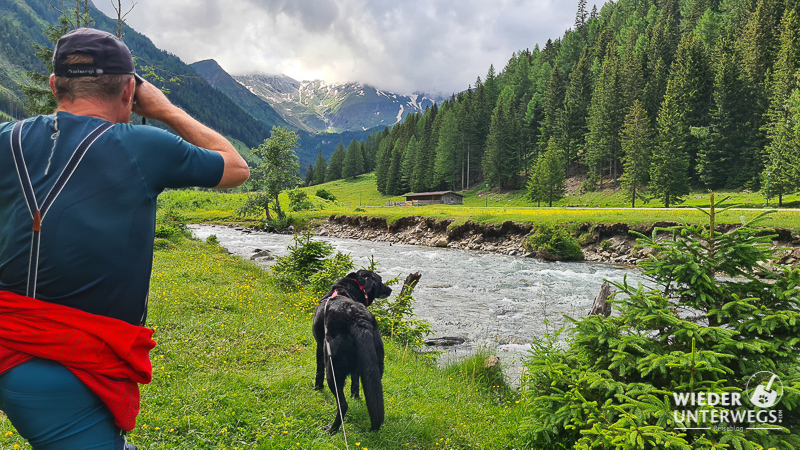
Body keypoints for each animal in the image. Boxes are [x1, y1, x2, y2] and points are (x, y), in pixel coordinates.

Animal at [310, 268, 392, 434]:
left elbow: (318, 371)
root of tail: (358, 320)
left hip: (333, 370)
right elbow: (355, 381)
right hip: (376, 367)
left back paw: (331, 431)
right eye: (380, 280)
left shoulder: (319, 347)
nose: (390, 289)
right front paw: (355, 396)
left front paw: (317, 388)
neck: (344, 292)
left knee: (342, 405)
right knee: (373, 397)